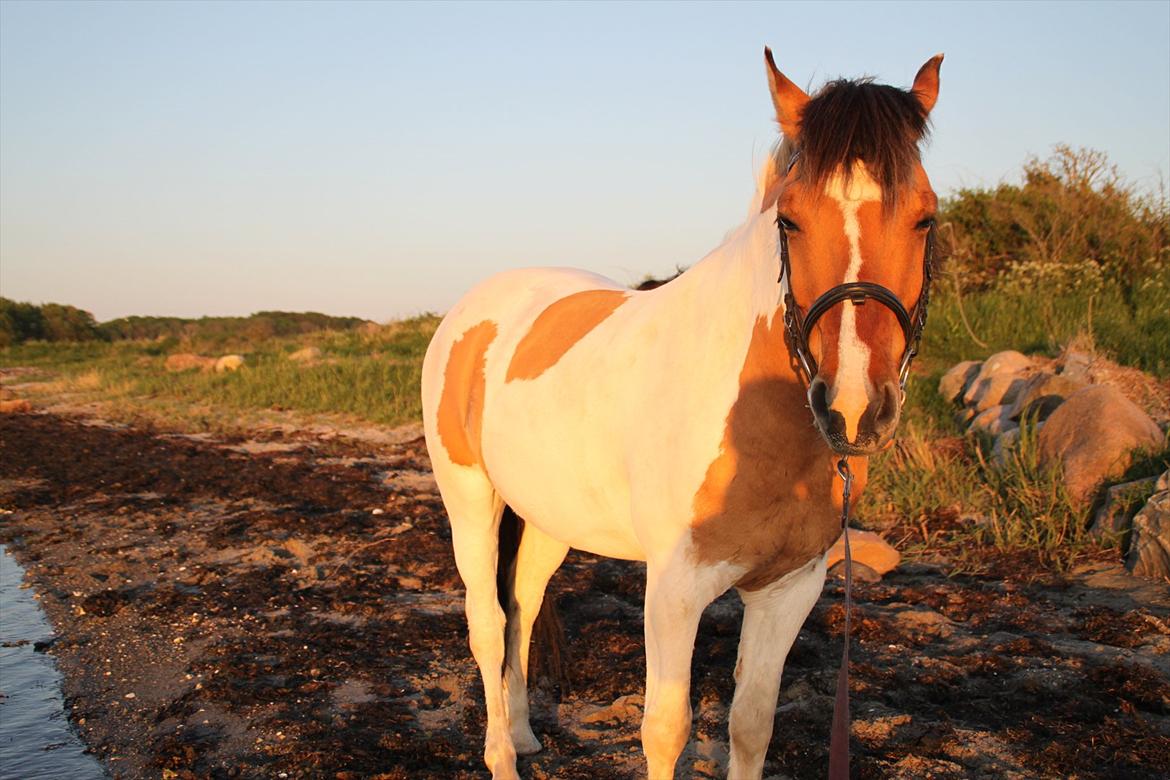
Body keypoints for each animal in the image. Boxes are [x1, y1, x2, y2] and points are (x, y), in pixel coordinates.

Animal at [421, 50, 940, 780]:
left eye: (926, 219)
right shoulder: (674, 590)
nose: (854, 404)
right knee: (488, 623)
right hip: (470, 500)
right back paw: (500, 756)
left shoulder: (789, 588)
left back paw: (523, 734)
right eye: (789, 220)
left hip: (551, 515)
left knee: (522, 603)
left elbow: (751, 725)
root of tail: (472, 310)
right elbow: (666, 729)